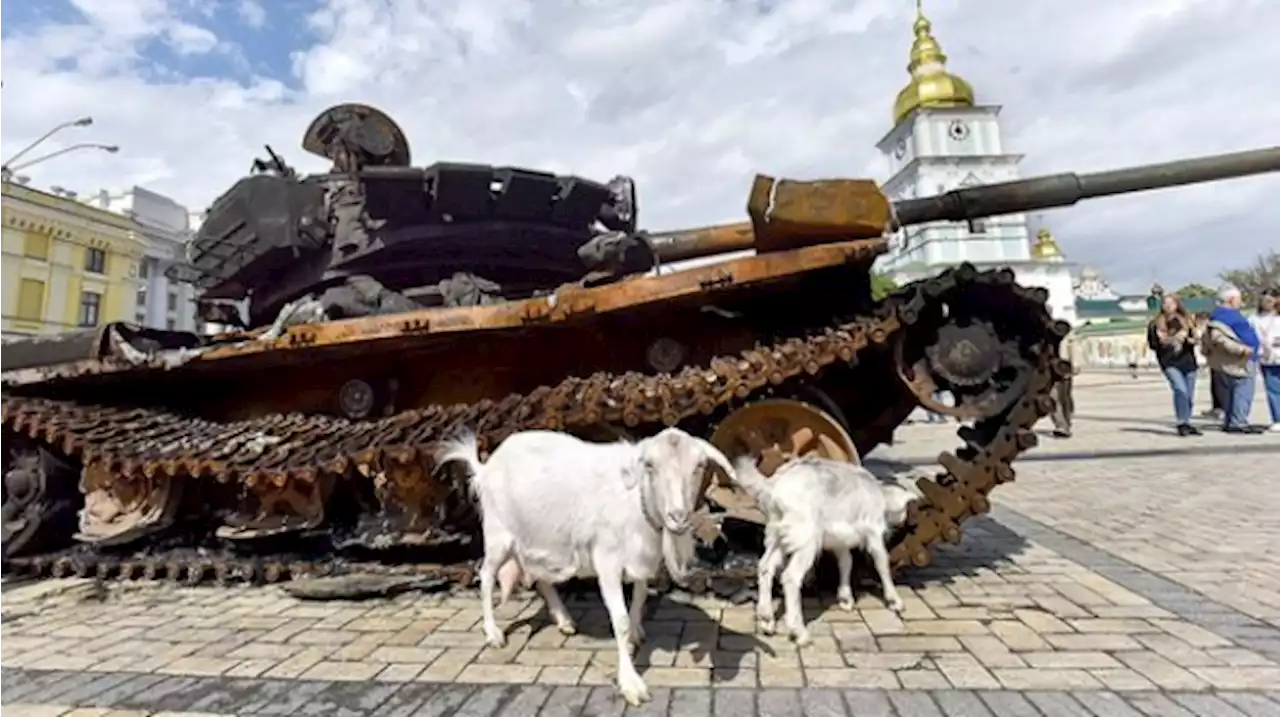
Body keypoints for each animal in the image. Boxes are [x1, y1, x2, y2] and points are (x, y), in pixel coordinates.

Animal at [435, 425, 737, 706]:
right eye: (650, 465)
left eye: (699, 466)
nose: (678, 517)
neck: (636, 503)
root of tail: (485, 467)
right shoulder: (608, 562)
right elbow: (620, 620)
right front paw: (631, 683)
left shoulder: (641, 561)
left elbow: (639, 600)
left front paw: (635, 636)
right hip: (499, 533)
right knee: (486, 575)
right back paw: (493, 633)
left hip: (539, 539)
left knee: (541, 577)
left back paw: (564, 620)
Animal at [732, 455, 921, 647]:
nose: (904, 523)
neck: (879, 494)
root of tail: (773, 487)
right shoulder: (873, 532)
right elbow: (881, 563)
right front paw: (894, 600)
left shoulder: (841, 540)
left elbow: (846, 562)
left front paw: (845, 598)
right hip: (806, 537)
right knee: (791, 577)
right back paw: (799, 631)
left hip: (778, 534)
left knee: (765, 566)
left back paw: (766, 619)